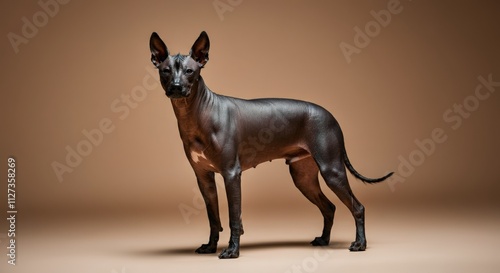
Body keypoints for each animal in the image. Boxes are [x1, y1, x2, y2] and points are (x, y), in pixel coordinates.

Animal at [148, 31, 394, 258]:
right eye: (165, 70)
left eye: (190, 71)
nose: (176, 87)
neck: (196, 114)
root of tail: (331, 116)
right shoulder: (204, 178)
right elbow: (213, 217)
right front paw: (210, 246)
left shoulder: (231, 174)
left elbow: (233, 216)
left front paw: (232, 250)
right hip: (303, 177)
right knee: (329, 207)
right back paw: (324, 240)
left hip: (331, 170)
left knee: (357, 207)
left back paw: (360, 244)